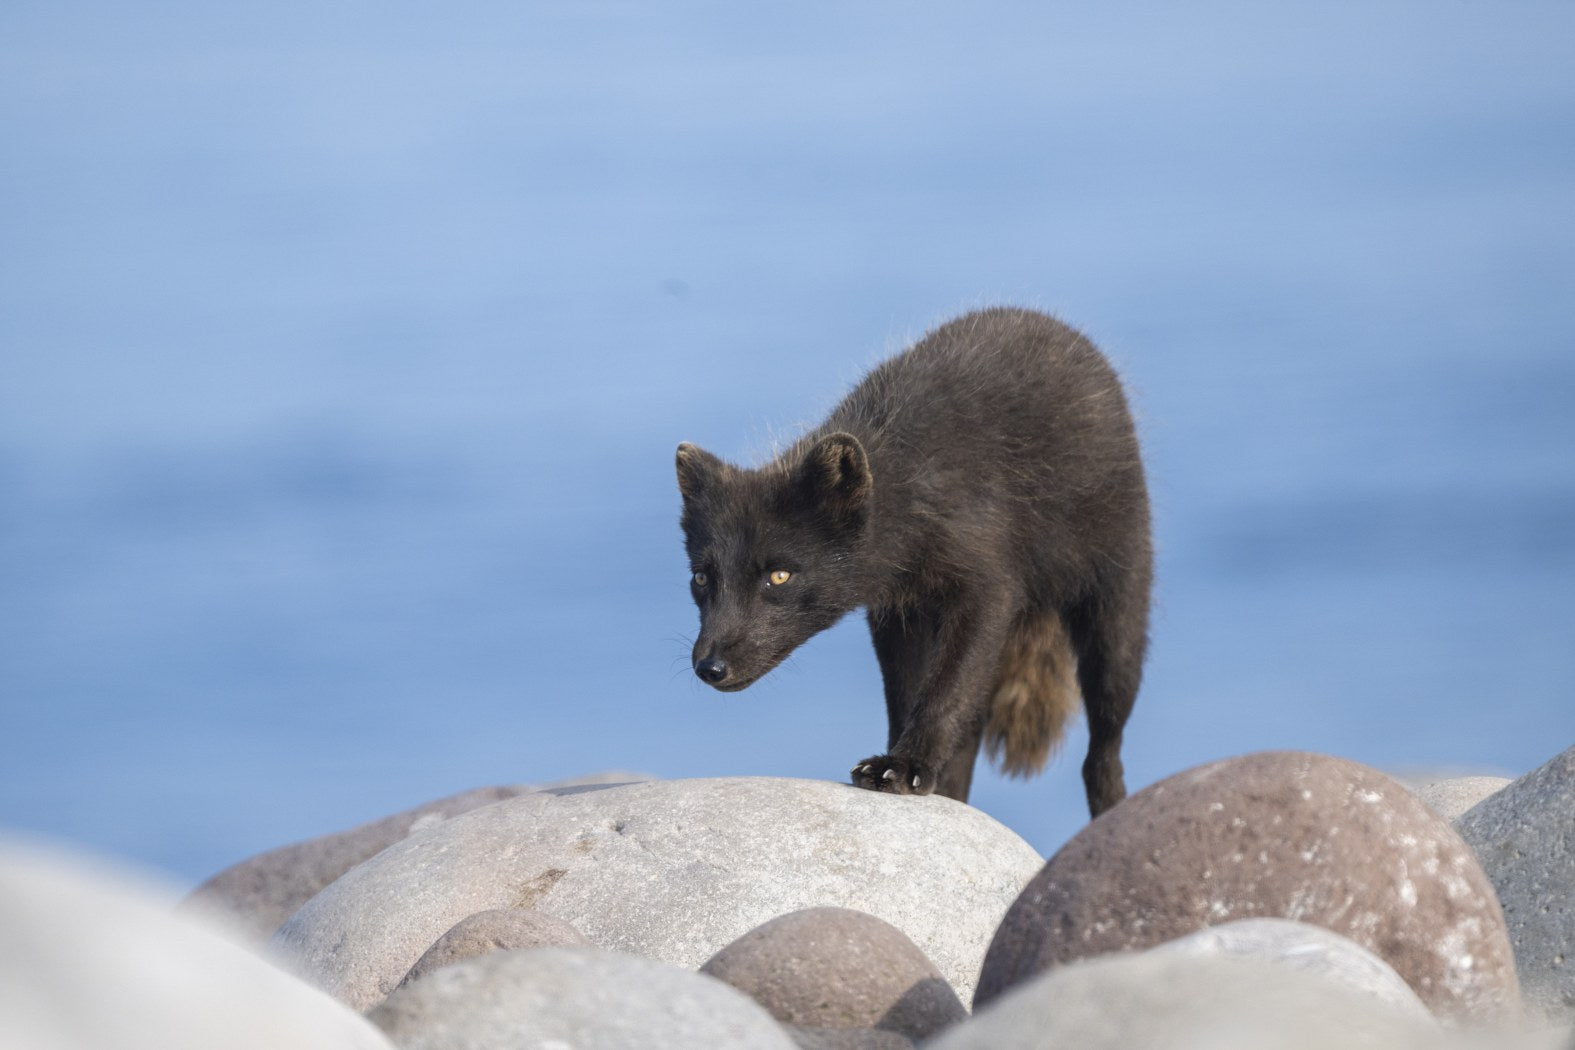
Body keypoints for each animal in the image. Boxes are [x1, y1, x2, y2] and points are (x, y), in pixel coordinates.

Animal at [675, 307, 1152, 816]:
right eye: (701, 578)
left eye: (778, 575)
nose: (709, 667)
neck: (910, 493)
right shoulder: (898, 611)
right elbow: (908, 695)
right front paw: (902, 767)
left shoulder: (988, 590)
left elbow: (944, 692)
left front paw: (903, 766)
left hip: (1117, 615)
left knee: (1103, 750)